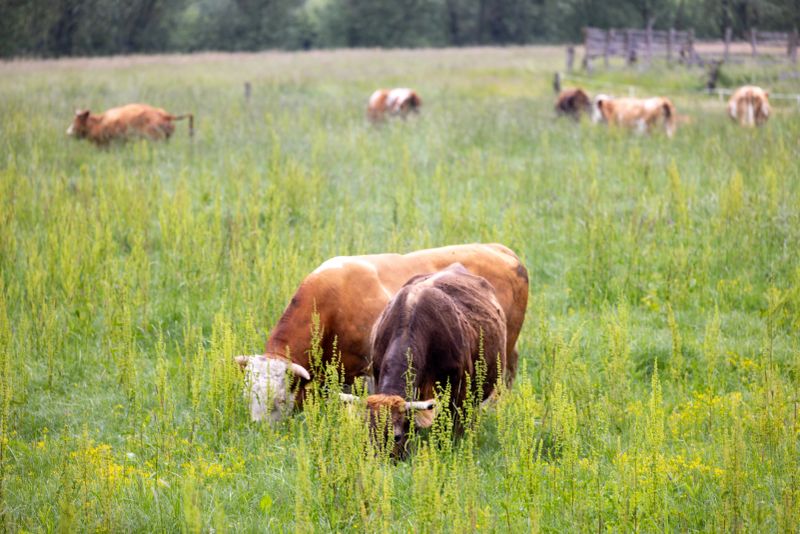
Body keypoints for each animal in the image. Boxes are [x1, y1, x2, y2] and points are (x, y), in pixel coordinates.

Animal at [235, 243, 528, 423]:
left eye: (278, 400)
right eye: (248, 395)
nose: (260, 431)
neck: (333, 303)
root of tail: (498, 249)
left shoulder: (370, 370)